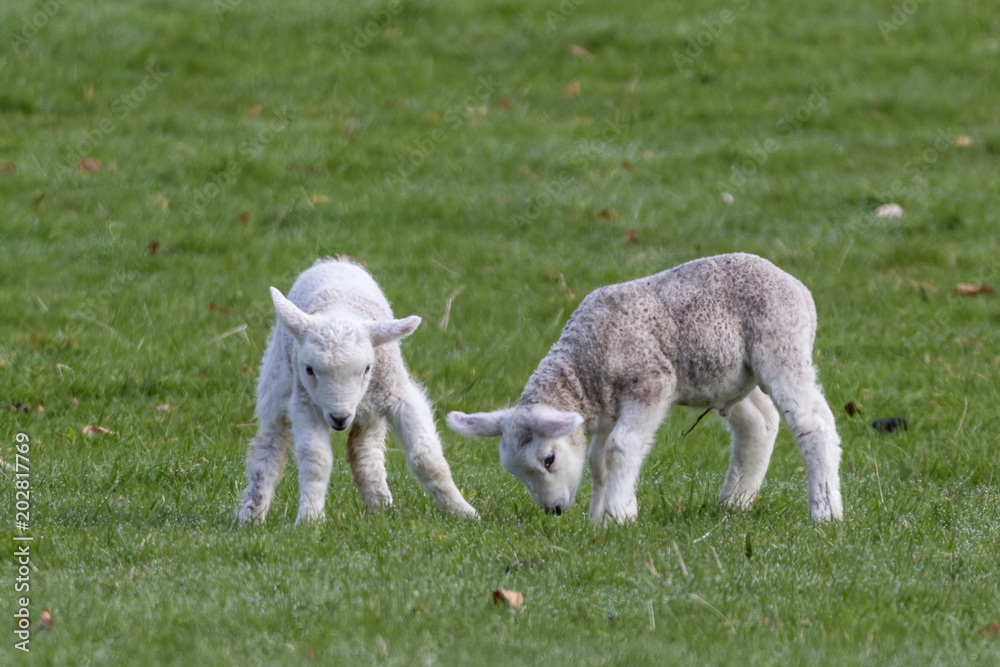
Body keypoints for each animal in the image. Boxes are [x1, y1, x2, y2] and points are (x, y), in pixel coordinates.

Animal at [240, 258, 478, 524]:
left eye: (367, 369)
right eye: (309, 370)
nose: (339, 418)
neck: (340, 308)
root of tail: (333, 261)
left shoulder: (398, 393)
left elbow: (427, 458)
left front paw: (463, 510)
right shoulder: (306, 404)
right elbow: (316, 460)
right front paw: (310, 518)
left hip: (372, 408)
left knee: (364, 451)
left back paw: (381, 506)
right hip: (278, 383)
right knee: (269, 445)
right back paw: (251, 513)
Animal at [450, 253, 840, 524]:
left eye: (549, 459)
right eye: (515, 471)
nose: (554, 510)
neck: (584, 365)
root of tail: (796, 286)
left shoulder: (651, 384)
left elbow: (621, 447)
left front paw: (619, 516)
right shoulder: (607, 408)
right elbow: (598, 460)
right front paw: (598, 517)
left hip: (781, 344)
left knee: (813, 423)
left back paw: (825, 511)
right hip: (731, 375)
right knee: (759, 423)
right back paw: (734, 502)